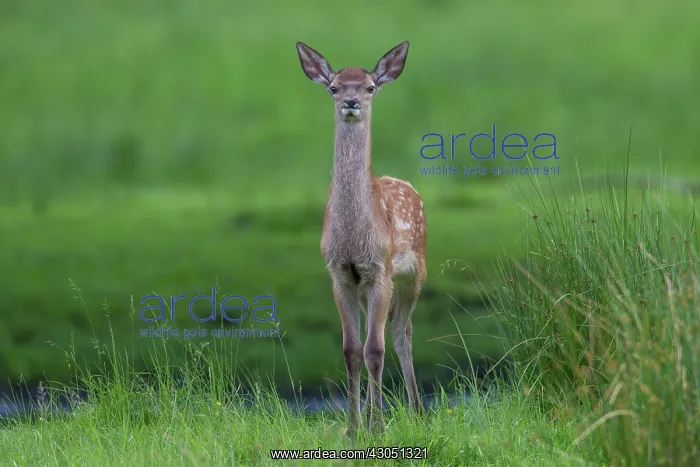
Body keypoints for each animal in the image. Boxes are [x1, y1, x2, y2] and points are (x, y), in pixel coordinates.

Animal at [296, 40, 427, 436]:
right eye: (334, 87)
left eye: (369, 87)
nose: (351, 101)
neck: (354, 237)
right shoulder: (341, 272)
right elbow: (352, 350)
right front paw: (353, 428)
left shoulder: (379, 269)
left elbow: (375, 350)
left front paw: (379, 428)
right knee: (386, 331)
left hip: (415, 270)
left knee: (401, 333)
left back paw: (416, 412)